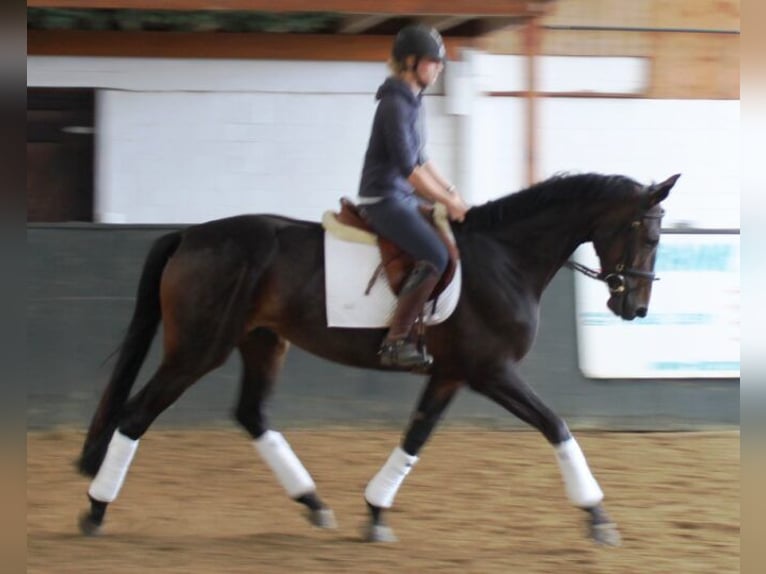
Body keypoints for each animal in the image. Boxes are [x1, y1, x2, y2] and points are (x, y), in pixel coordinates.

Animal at [76, 172, 680, 548]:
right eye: (648, 235)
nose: (636, 307)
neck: (506, 257)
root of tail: (189, 235)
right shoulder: (492, 372)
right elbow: (556, 426)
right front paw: (598, 517)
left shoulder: (452, 375)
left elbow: (415, 438)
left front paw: (375, 512)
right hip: (198, 349)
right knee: (136, 416)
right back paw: (96, 510)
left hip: (263, 342)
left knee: (251, 414)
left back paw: (314, 503)